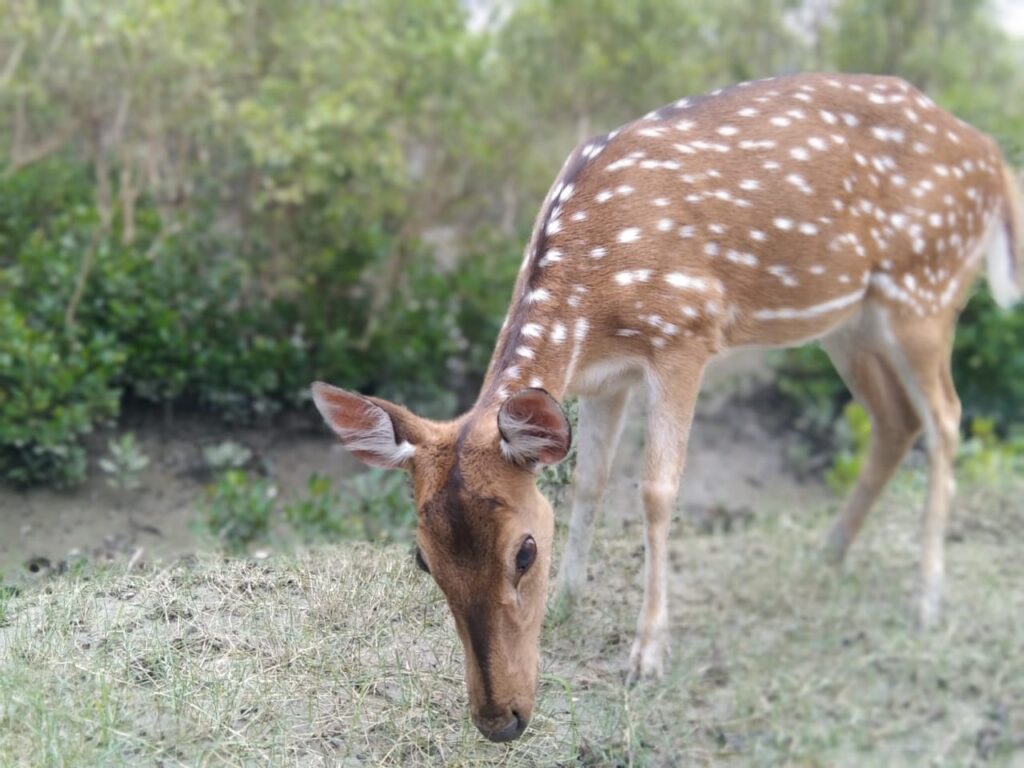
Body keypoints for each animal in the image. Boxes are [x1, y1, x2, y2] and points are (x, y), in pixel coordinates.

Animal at [313, 73, 1024, 745]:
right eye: (423, 559)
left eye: (524, 553)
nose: (499, 720)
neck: (594, 303)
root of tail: (995, 162)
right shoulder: (604, 378)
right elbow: (591, 481)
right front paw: (571, 600)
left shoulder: (685, 333)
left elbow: (656, 490)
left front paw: (648, 654)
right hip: (852, 321)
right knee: (895, 419)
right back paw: (831, 549)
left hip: (925, 290)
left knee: (948, 418)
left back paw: (926, 598)